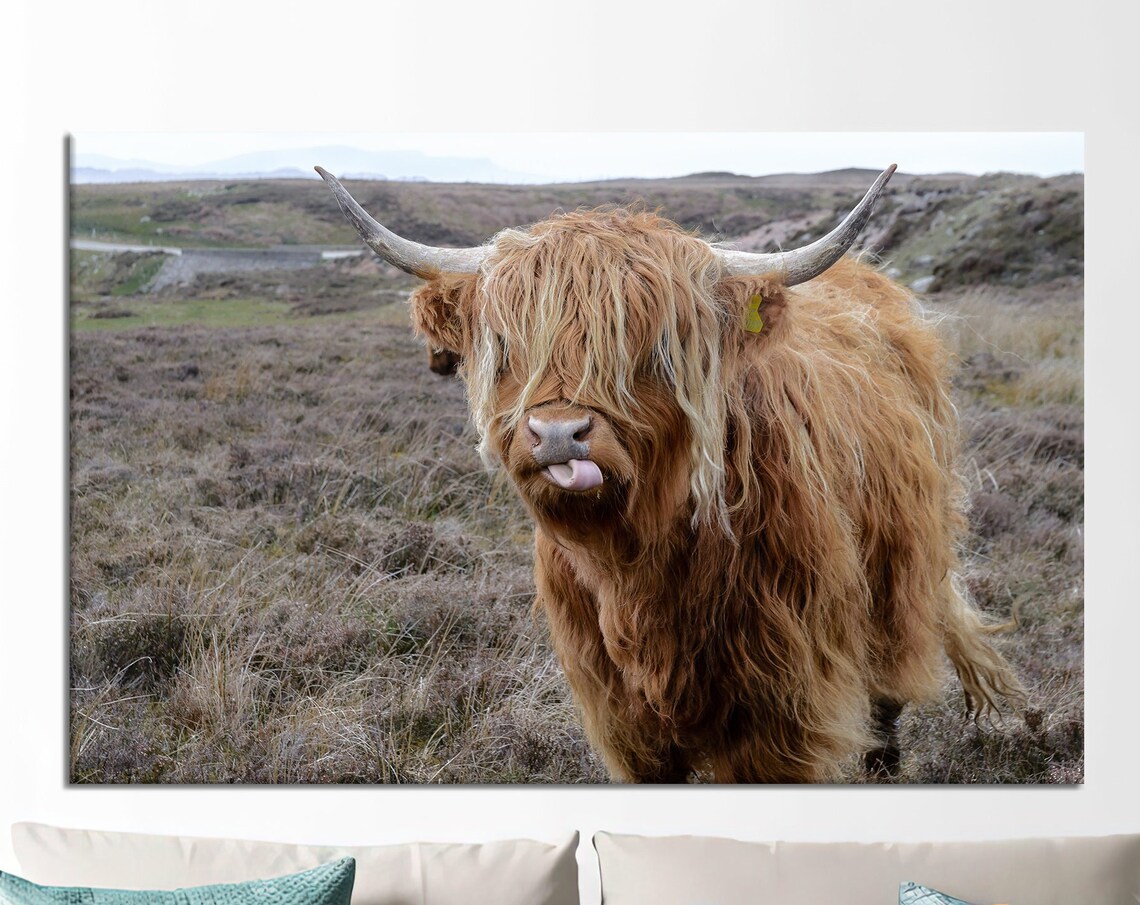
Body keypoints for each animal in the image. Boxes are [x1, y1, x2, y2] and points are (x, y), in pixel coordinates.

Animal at [316, 165, 1025, 783]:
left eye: (651, 347)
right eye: (509, 346)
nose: (557, 434)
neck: (639, 567)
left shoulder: (780, 710)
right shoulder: (622, 716)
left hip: (899, 580)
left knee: (886, 705)